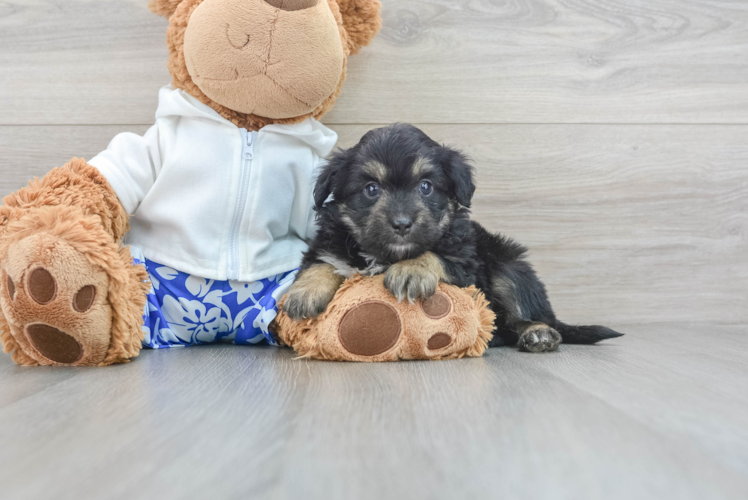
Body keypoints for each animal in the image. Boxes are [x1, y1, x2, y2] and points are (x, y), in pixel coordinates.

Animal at [284, 122, 624, 352]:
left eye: (425, 186)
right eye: (370, 189)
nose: (402, 223)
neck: (386, 255)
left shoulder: (466, 263)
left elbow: (434, 255)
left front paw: (410, 270)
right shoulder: (329, 243)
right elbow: (322, 263)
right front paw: (303, 293)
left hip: (509, 265)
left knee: (528, 313)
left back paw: (538, 333)